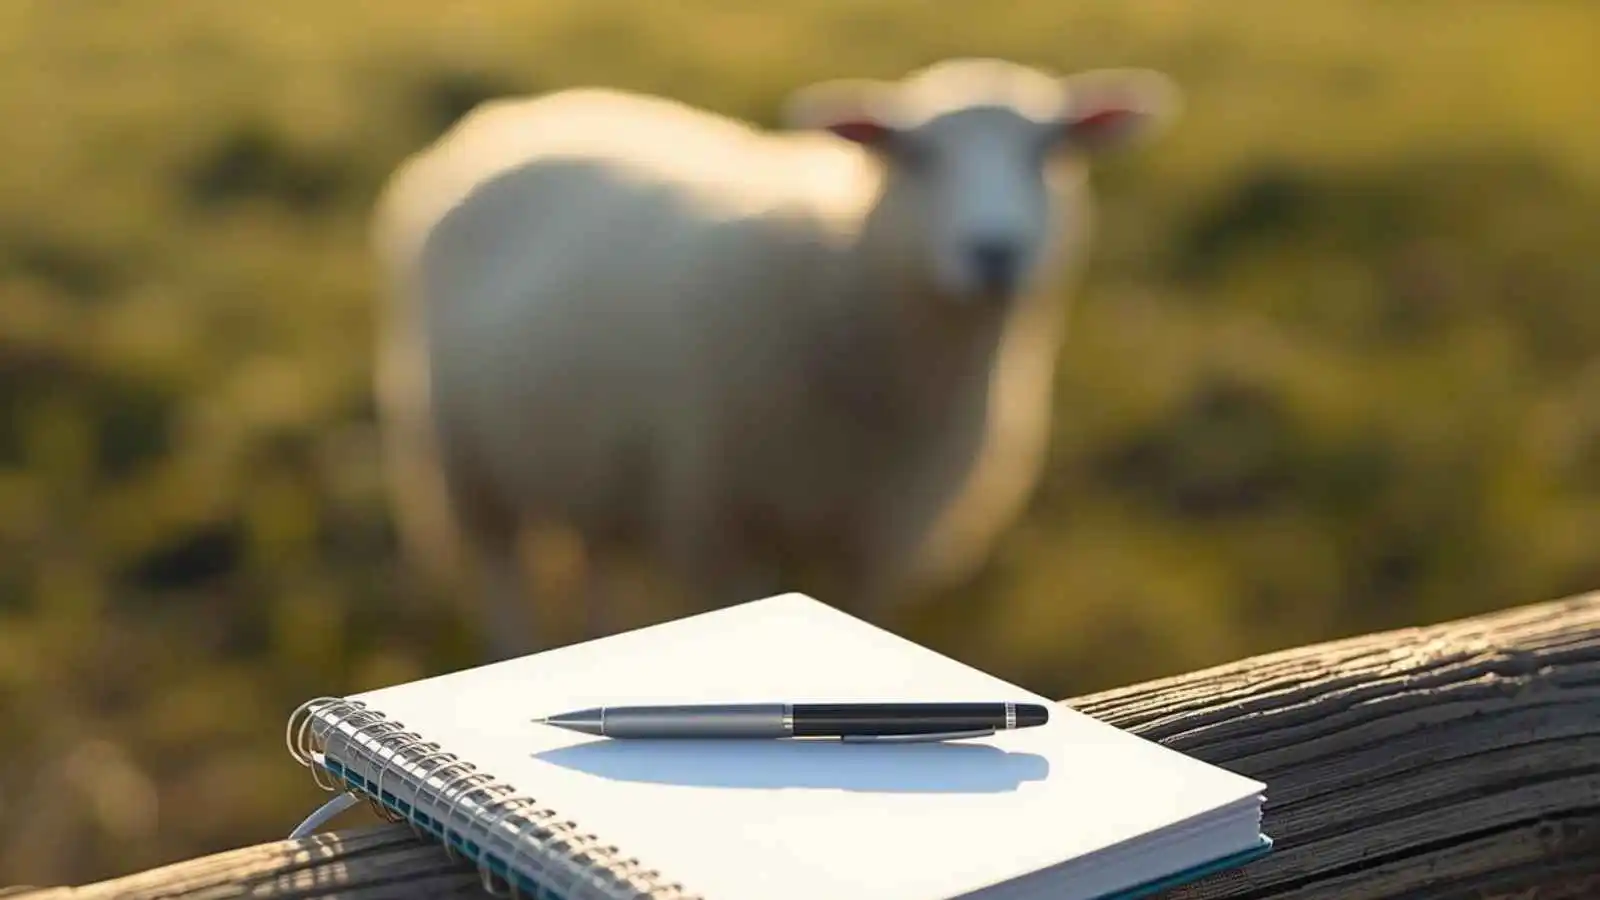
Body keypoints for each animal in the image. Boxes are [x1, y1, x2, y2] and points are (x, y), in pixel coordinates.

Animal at [370, 57, 1181, 659]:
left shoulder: (878, 535)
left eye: (1051, 149)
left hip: (590, 459)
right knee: (502, 576)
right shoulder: (723, 522)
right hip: (467, 465)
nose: (996, 253)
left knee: (598, 554)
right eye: (916, 155)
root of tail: (513, 118)